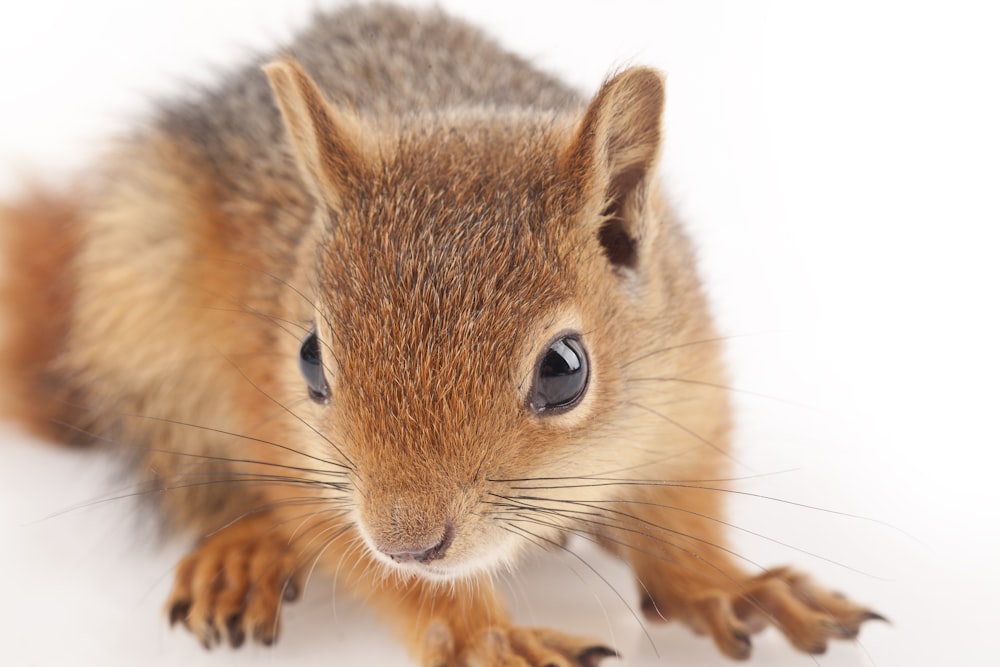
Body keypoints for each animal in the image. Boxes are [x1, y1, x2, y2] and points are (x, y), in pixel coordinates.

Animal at [0, 5, 880, 667]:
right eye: (309, 359)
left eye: (564, 370)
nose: (409, 541)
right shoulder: (308, 463)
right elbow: (374, 563)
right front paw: (487, 637)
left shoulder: (689, 397)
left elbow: (683, 518)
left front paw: (728, 584)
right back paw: (244, 548)